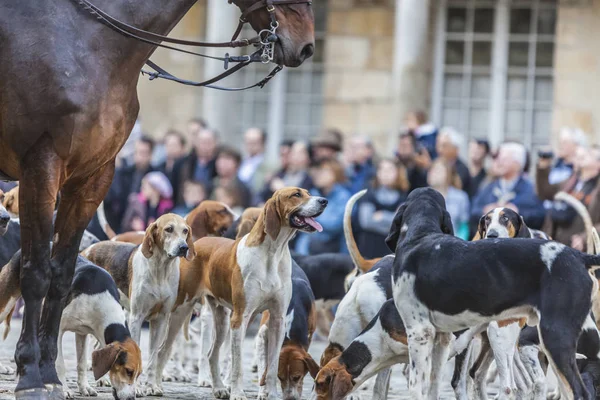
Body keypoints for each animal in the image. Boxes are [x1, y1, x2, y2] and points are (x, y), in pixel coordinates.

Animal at [0, 0, 316, 396]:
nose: (307, 46)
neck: (92, 41)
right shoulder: (40, 166)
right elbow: (38, 273)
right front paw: (30, 374)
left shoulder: (92, 176)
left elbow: (61, 275)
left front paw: (48, 373)